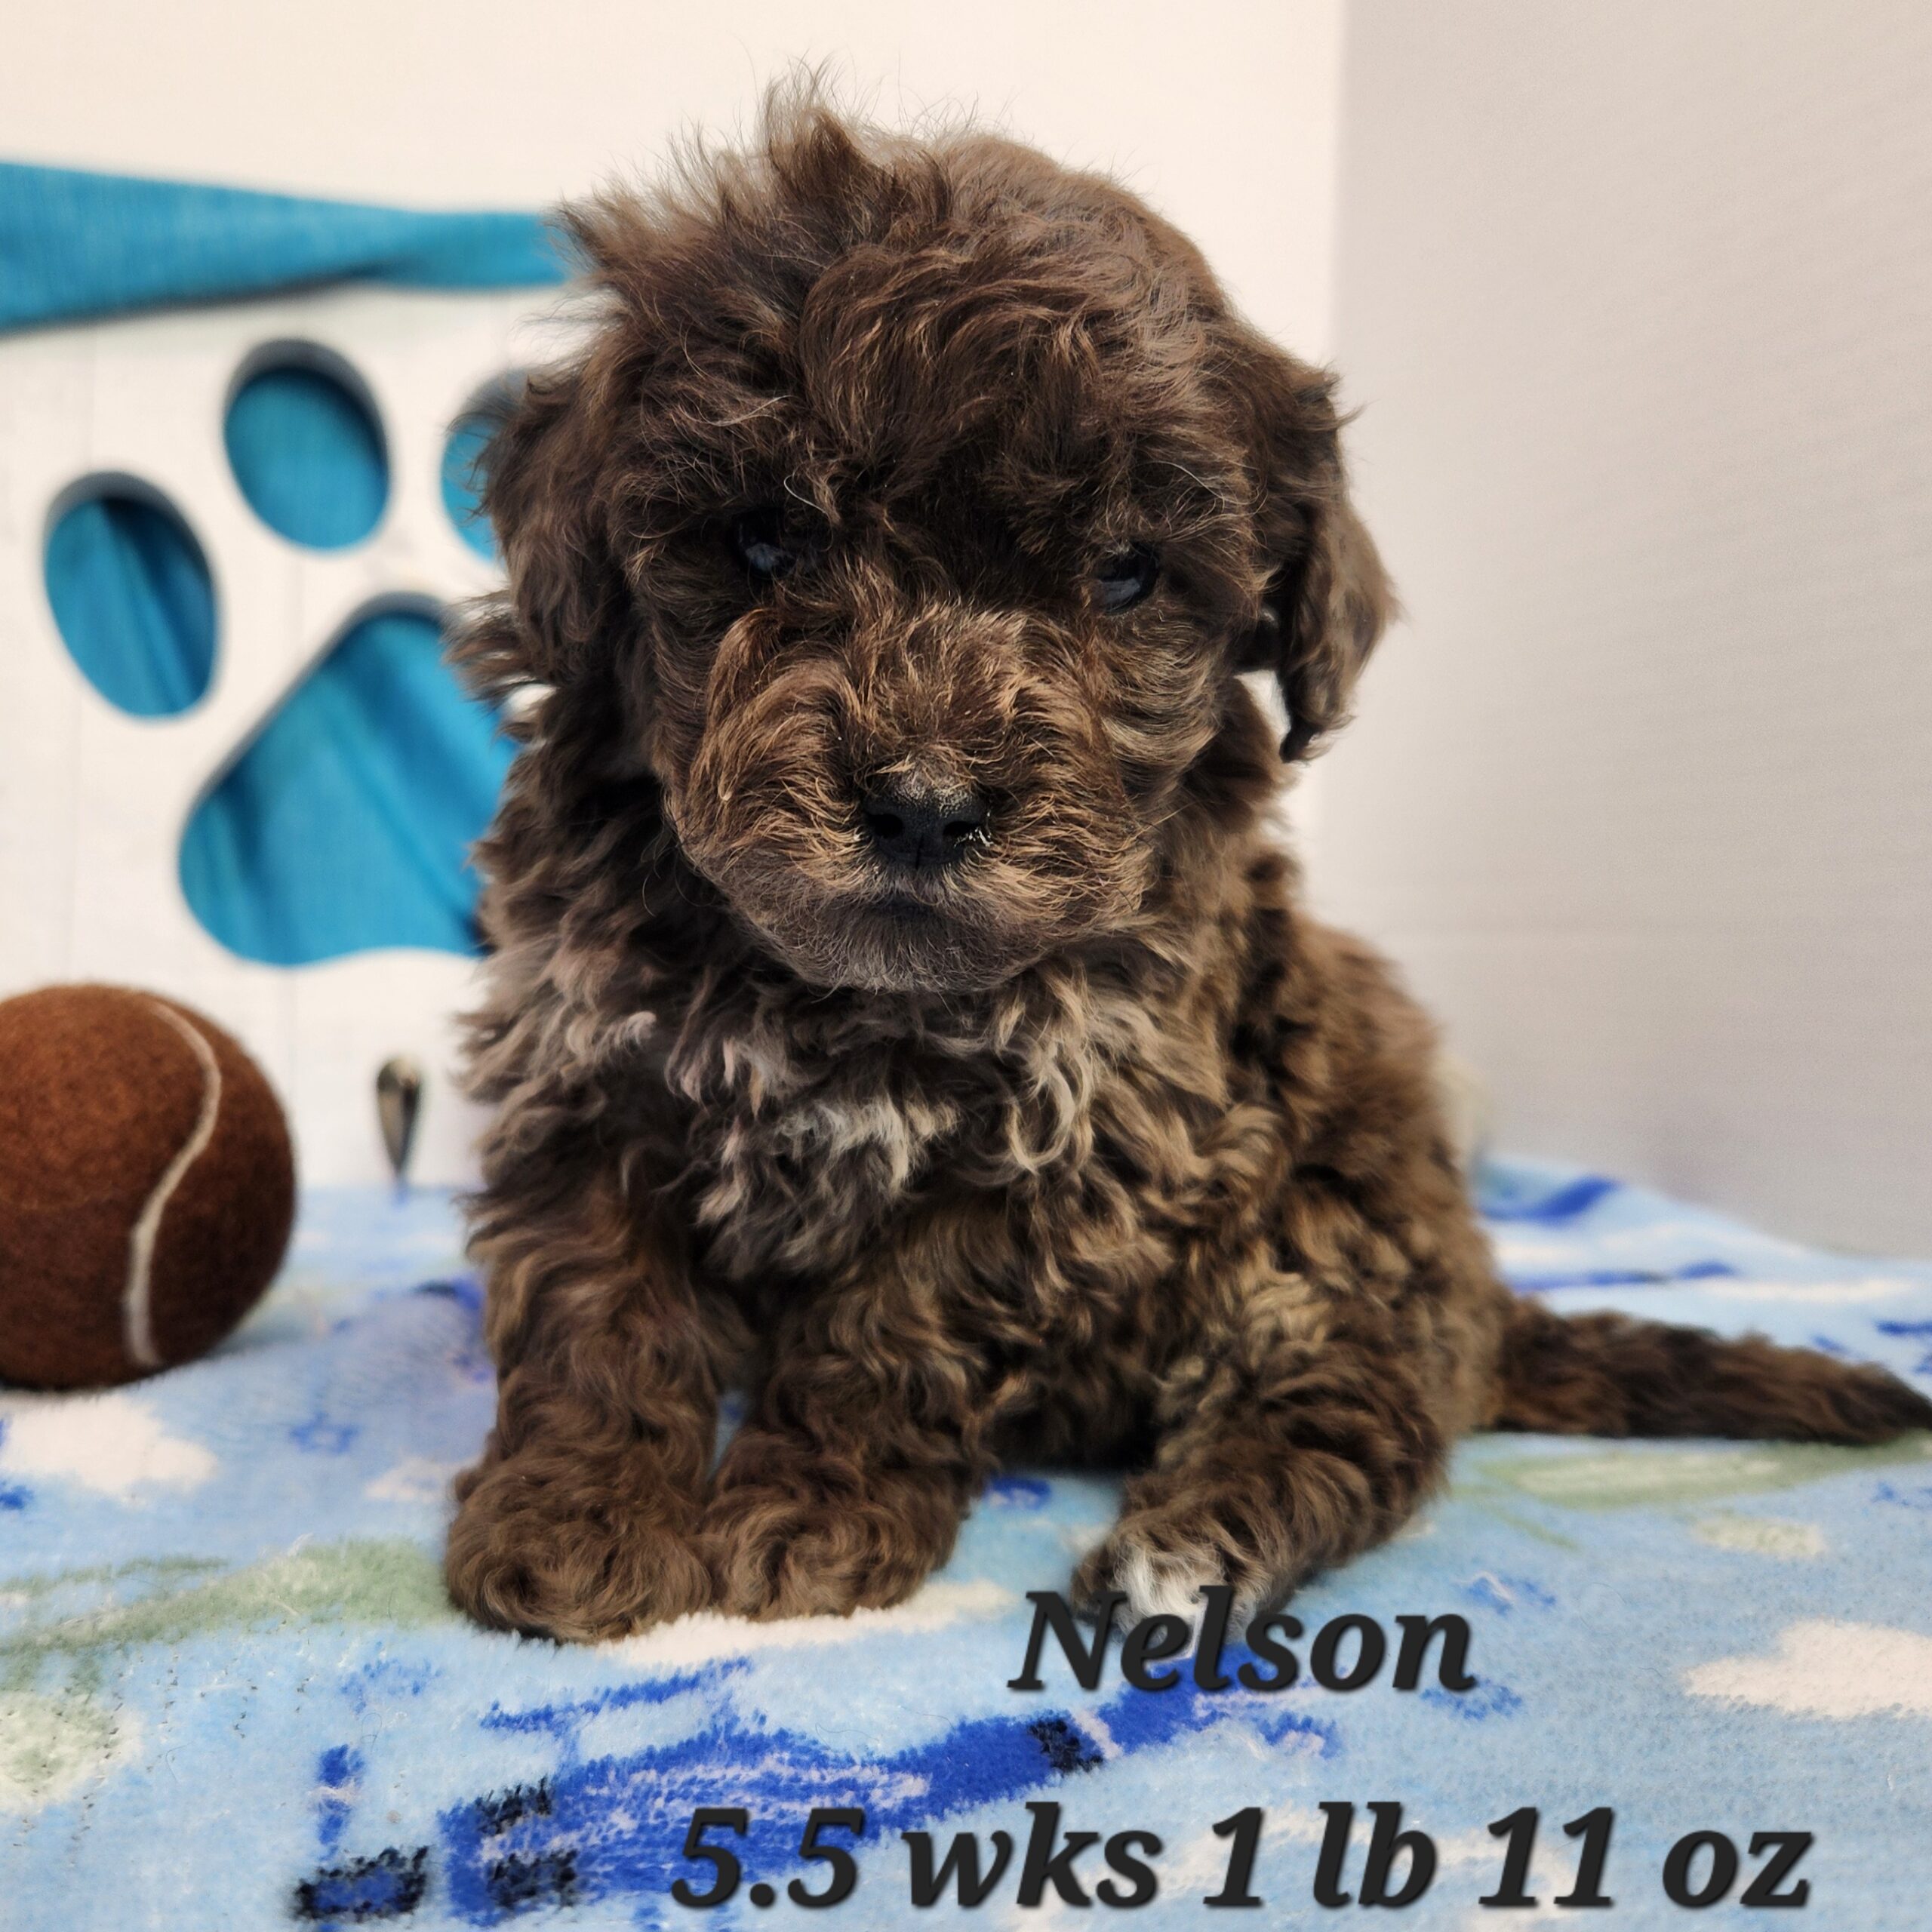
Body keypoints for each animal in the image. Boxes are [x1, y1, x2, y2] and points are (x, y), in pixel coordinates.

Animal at [442, 97, 1932, 1638]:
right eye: (765, 542)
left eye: (1124, 577)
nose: (923, 806)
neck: (852, 998)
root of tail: (1482, 1297)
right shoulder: (589, 1068)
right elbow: (599, 1314)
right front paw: (578, 1518)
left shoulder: (1074, 1132)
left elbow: (892, 1332)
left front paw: (812, 1508)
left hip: (1335, 1232)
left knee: (1359, 1419)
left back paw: (1191, 1551)